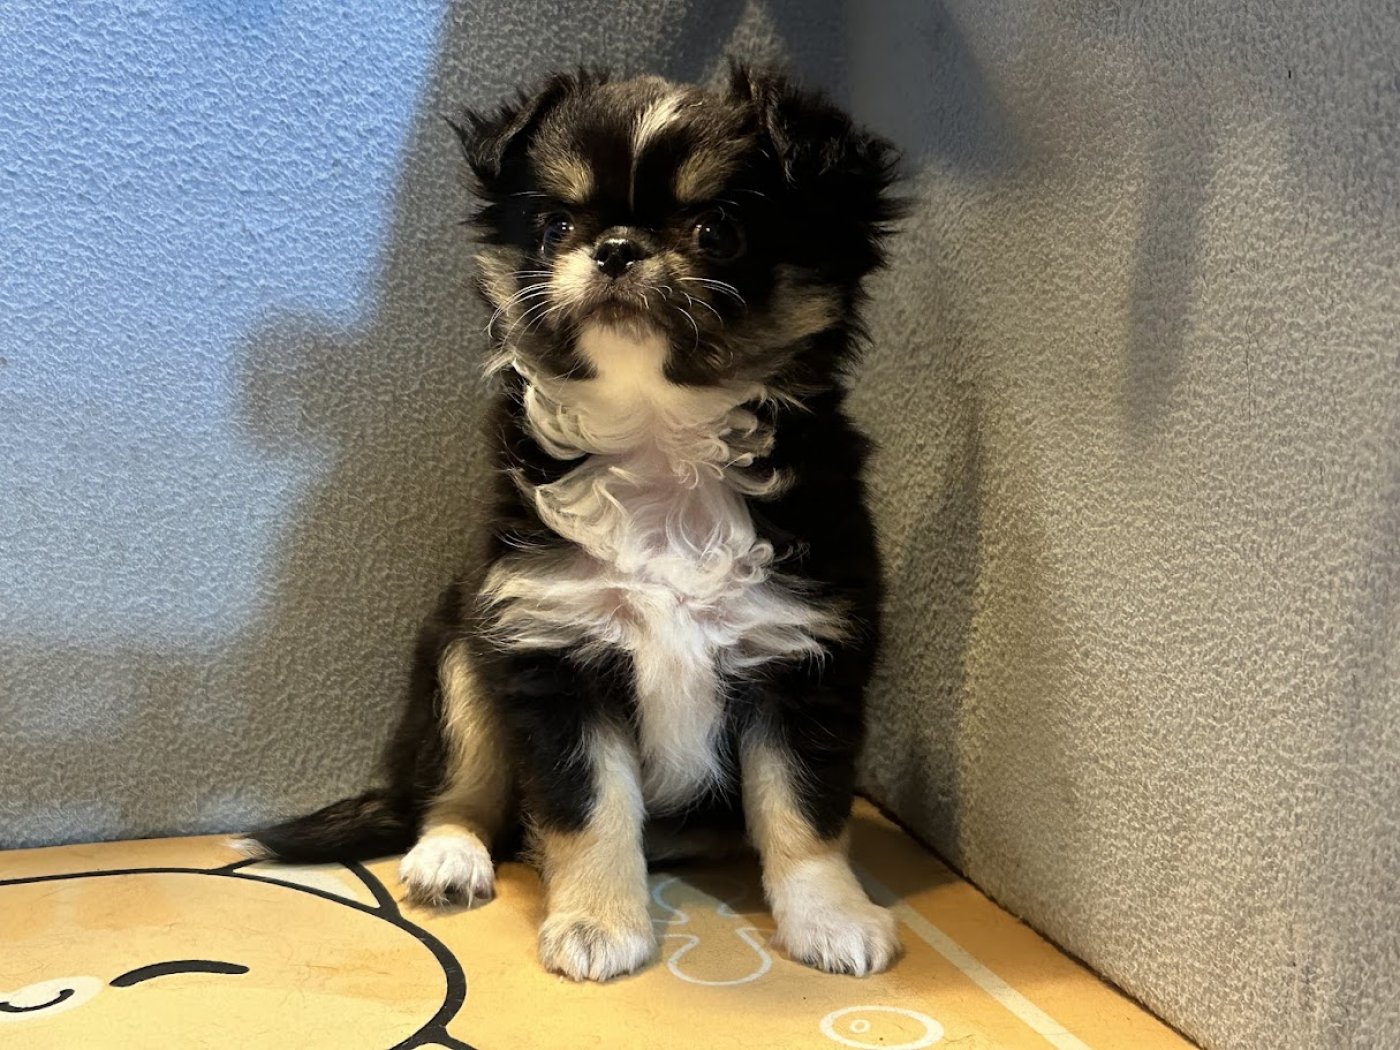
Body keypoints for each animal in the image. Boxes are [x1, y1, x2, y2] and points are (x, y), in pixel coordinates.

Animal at [246, 64, 902, 983]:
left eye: (719, 228)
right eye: (556, 225)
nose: (616, 247)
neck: (660, 438)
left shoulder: (802, 658)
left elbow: (804, 812)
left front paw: (832, 917)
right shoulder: (551, 649)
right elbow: (591, 809)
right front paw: (598, 924)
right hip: (460, 652)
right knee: (457, 791)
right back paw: (449, 856)